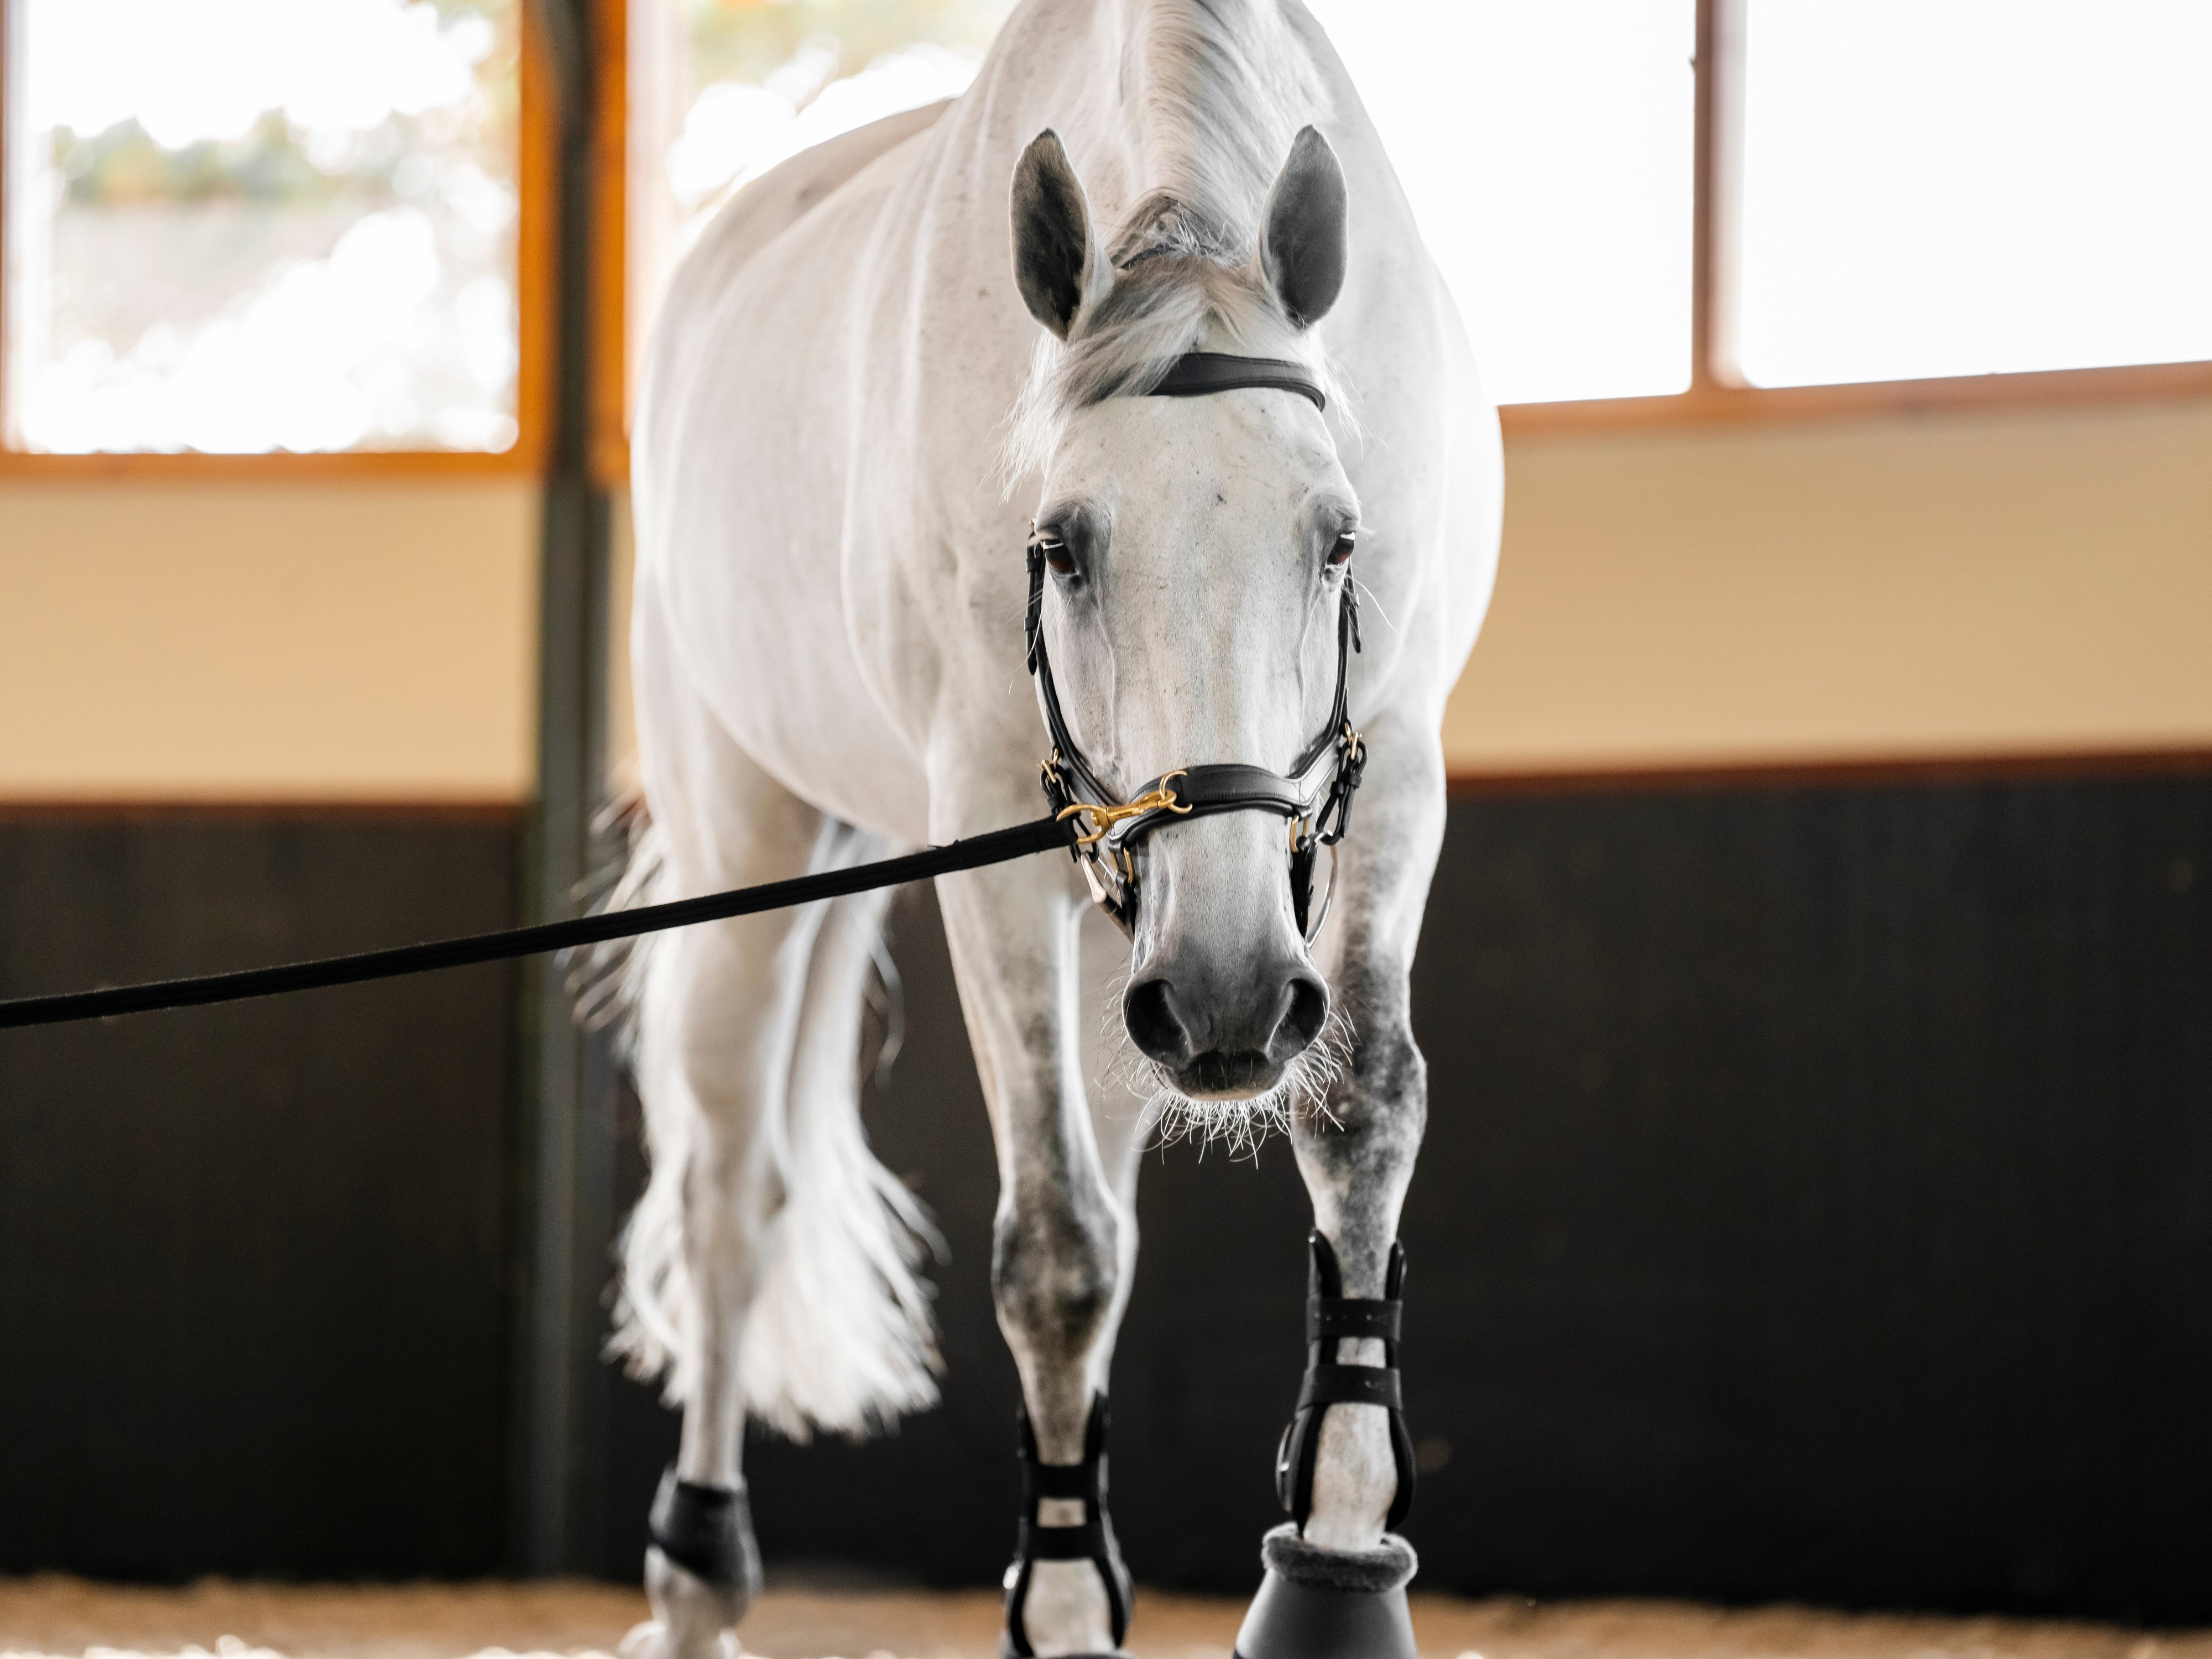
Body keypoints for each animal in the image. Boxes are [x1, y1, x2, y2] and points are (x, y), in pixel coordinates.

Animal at [601, 1, 1500, 1653]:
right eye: (1060, 545)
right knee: (730, 1197)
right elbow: (1057, 1253)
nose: (1231, 999)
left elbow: (1360, 1111)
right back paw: (698, 1571)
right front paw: (1072, 1600)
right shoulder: (987, 823)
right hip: (756, 850)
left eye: (1338, 537)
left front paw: (1335, 1559)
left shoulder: (1395, 764)